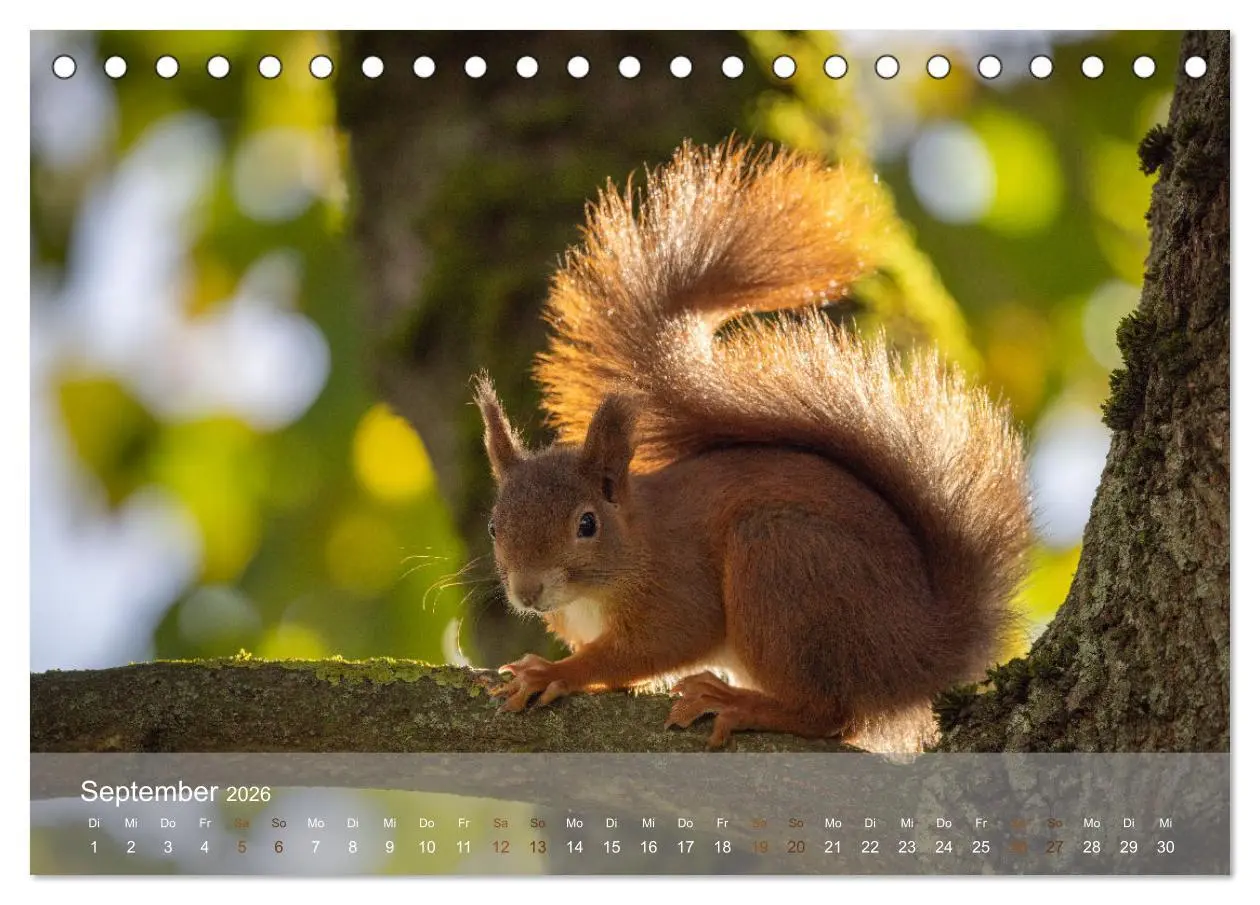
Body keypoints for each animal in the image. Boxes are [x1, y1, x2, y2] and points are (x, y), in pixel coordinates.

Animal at [475, 140, 1032, 751]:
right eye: (494, 527)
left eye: (587, 524)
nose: (527, 591)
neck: (635, 540)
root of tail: (922, 653)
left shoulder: (679, 586)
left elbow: (660, 644)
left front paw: (556, 672)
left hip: (781, 566)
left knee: (826, 711)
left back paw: (740, 703)